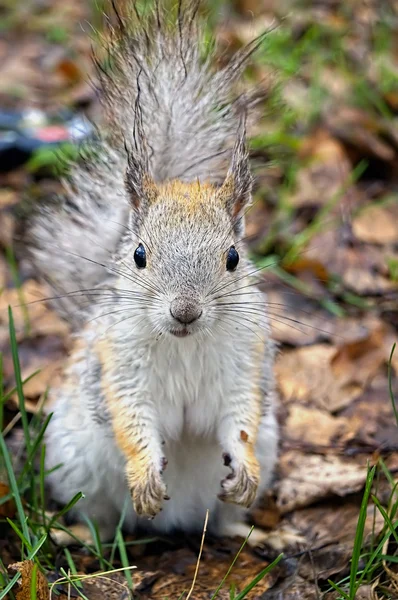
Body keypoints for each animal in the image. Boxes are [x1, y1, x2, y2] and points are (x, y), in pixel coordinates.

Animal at [27, 0, 276, 544]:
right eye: (139, 255)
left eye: (233, 258)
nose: (184, 312)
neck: (183, 344)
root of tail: (176, 525)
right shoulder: (120, 366)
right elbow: (132, 418)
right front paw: (144, 471)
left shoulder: (243, 363)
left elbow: (239, 416)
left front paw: (244, 468)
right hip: (76, 463)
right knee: (98, 515)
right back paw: (83, 534)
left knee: (224, 519)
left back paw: (252, 532)